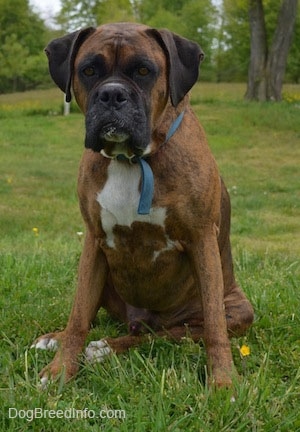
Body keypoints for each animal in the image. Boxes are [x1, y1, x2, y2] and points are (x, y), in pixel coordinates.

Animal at [32, 22, 253, 388]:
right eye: (88, 70)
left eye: (144, 71)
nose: (112, 95)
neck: (131, 160)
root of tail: (139, 319)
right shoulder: (94, 242)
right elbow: (78, 314)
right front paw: (60, 370)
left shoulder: (201, 239)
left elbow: (214, 326)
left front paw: (223, 381)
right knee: (97, 317)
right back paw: (58, 338)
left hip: (238, 309)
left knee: (166, 334)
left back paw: (107, 347)